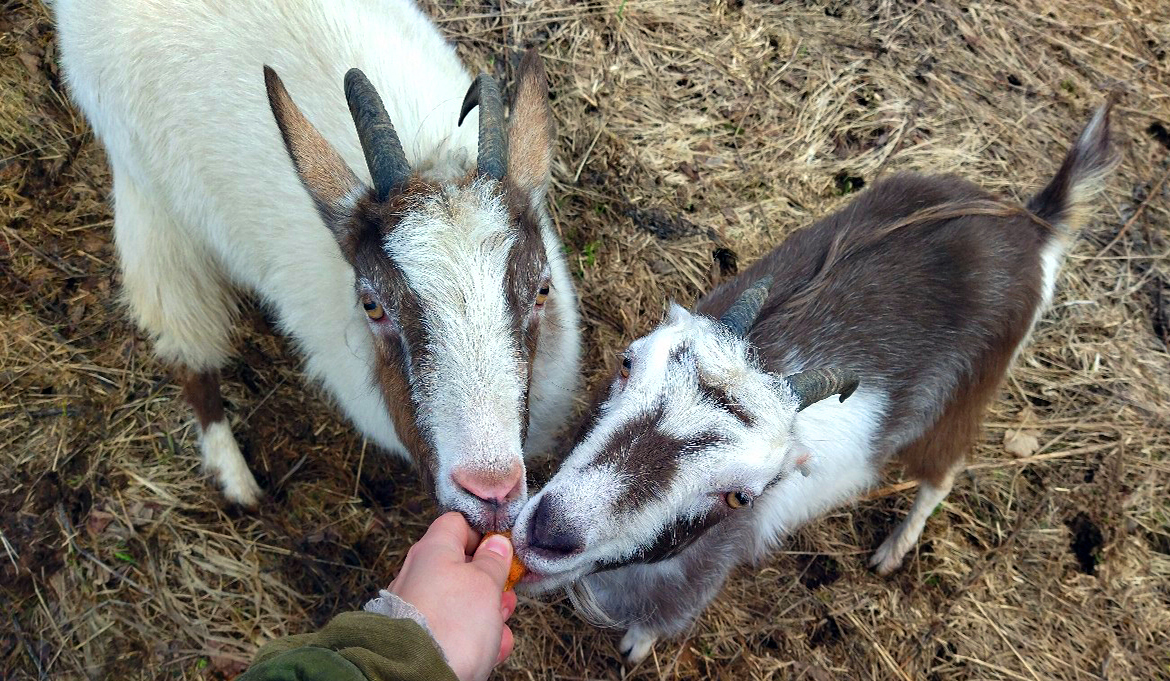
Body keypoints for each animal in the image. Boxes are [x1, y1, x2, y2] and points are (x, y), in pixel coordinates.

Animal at [55, 0, 580, 533]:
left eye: (541, 290)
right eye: (372, 304)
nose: (490, 491)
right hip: (147, 193)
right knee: (184, 338)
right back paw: (235, 477)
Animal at [512, 101, 1113, 659]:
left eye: (741, 497)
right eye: (627, 362)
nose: (551, 530)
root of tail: (1032, 226)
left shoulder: (698, 573)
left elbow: (659, 620)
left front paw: (637, 646)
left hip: (967, 395)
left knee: (942, 474)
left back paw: (893, 550)